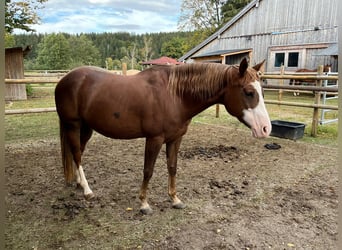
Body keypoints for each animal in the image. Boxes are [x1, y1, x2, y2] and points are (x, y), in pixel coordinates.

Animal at [54, 57, 272, 214]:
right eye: (249, 92)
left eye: (262, 90)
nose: (265, 129)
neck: (175, 95)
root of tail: (64, 80)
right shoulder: (155, 139)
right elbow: (148, 170)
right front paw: (144, 204)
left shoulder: (175, 139)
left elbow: (172, 167)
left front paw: (175, 199)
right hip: (73, 125)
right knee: (77, 154)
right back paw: (87, 191)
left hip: (86, 128)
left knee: (77, 151)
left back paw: (80, 184)